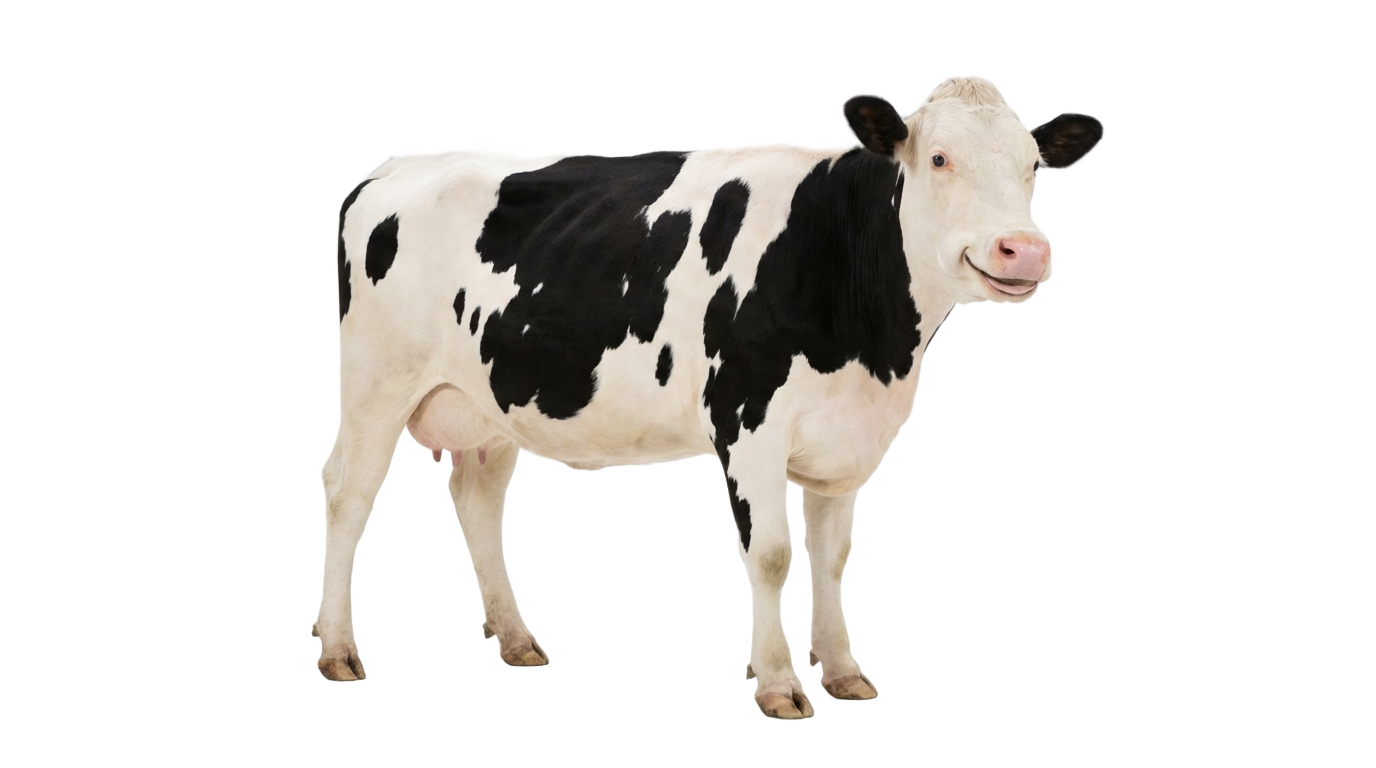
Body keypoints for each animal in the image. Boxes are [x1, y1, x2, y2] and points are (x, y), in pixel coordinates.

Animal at [315, 77, 1103, 719]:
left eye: (1034, 164)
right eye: (937, 158)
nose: (1023, 250)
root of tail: (389, 175)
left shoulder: (843, 436)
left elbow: (832, 557)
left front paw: (842, 673)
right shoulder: (748, 423)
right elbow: (773, 556)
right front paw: (778, 684)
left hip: (488, 405)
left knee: (476, 504)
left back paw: (515, 641)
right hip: (373, 382)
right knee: (346, 502)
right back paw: (335, 651)